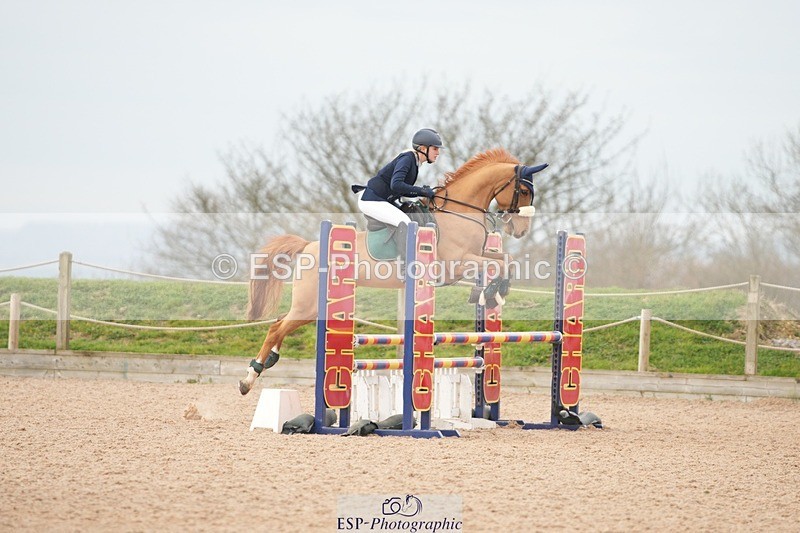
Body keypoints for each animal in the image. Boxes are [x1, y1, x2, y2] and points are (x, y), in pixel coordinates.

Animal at [239, 148, 548, 395]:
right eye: (523, 191)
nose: (520, 231)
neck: (459, 212)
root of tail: (308, 246)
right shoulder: (456, 264)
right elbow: (497, 263)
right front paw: (489, 292)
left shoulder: (475, 256)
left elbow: (506, 259)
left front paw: (491, 293)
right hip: (309, 303)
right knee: (276, 328)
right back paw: (249, 378)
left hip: (314, 306)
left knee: (281, 323)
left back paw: (268, 361)